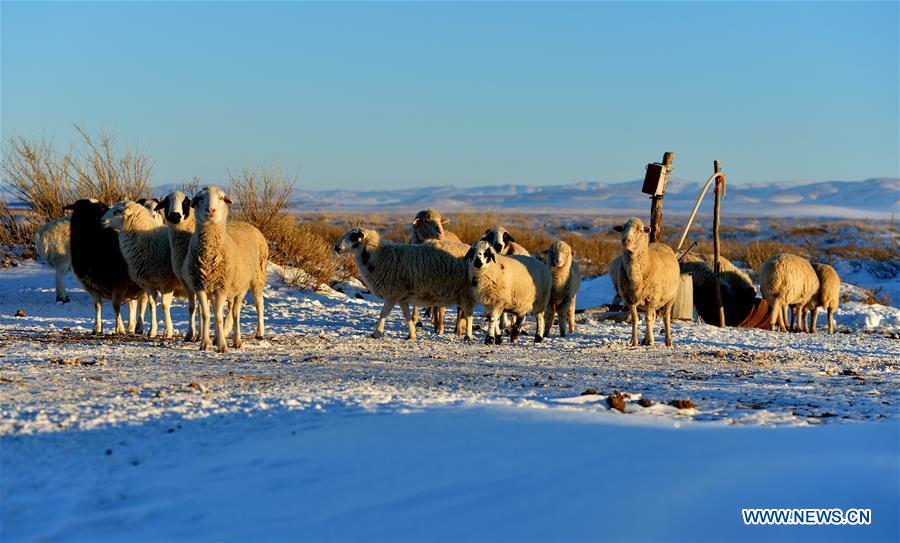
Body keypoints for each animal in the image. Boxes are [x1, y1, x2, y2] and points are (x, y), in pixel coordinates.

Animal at [61, 200, 144, 336]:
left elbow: (116, 306)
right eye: (84, 207)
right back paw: (131, 328)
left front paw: (119, 329)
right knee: (134, 304)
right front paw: (97, 328)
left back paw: (139, 328)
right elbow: (97, 305)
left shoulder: (119, 284)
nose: (101, 220)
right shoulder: (91, 286)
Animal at [101, 200, 185, 338]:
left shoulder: (168, 282)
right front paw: (152, 331)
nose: (102, 220)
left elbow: (164, 305)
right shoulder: (149, 284)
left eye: (118, 211)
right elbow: (152, 305)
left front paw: (168, 331)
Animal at [183, 186, 268, 352]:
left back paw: (250, 336)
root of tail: (247, 224)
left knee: (247, 309)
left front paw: (222, 346)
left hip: (253, 280)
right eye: (200, 198)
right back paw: (218, 337)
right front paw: (205, 343)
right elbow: (206, 315)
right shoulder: (200, 286)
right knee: (229, 312)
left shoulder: (221, 287)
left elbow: (218, 316)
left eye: (221, 198)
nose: (211, 210)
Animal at [336, 226, 478, 340]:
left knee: (469, 314)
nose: (337, 248)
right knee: (465, 312)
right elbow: (407, 315)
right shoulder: (401, 297)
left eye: (353, 236)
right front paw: (412, 334)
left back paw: (467, 335)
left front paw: (376, 333)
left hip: (467, 291)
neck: (377, 256)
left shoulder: (392, 294)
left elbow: (383, 313)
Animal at [612, 218, 684, 348]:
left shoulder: (651, 298)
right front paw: (633, 341)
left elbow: (648, 319)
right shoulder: (629, 299)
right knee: (653, 316)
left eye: (640, 230)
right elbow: (635, 319)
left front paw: (651, 341)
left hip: (670, 297)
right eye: (622, 228)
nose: (626, 240)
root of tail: (660, 243)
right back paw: (645, 339)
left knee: (665, 317)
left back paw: (667, 340)